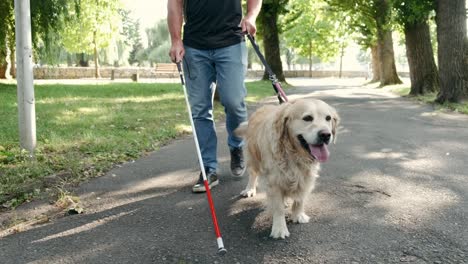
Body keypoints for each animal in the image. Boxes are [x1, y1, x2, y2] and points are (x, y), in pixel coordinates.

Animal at [236, 98, 338, 238]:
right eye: (307, 118)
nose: (326, 135)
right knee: (253, 174)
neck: (294, 153)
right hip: (253, 157)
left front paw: (298, 215)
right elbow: (278, 208)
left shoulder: (307, 176)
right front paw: (279, 228)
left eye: (328, 118)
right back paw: (250, 189)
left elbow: (300, 199)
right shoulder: (273, 180)